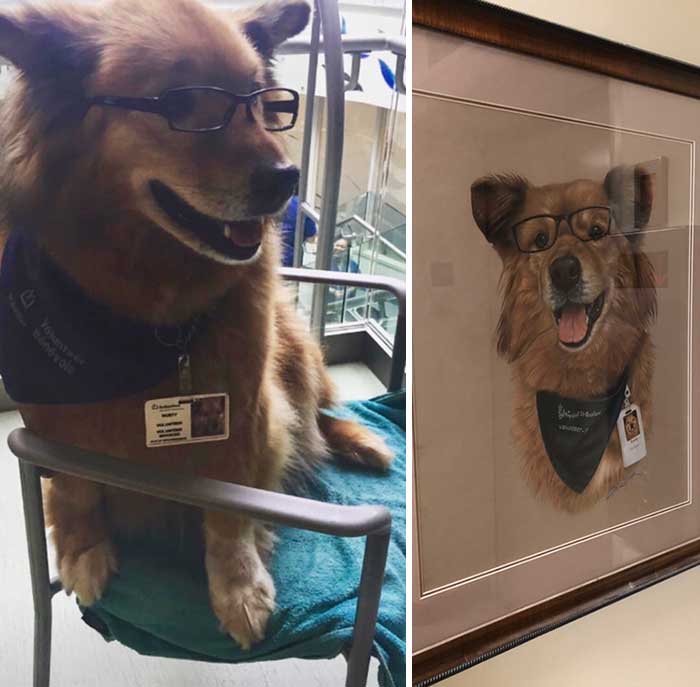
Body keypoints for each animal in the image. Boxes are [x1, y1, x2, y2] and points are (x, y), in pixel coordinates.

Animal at [0, 0, 392, 648]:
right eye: (182, 103)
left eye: (265, 100)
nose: (287, 178)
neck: (146, 316)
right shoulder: (50, 418)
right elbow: (75, 490)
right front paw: (82, 549)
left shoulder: (243, 407)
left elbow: (229, 508)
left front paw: (239, 588)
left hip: (294, 347)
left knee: (316, 415)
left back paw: (359, 443)